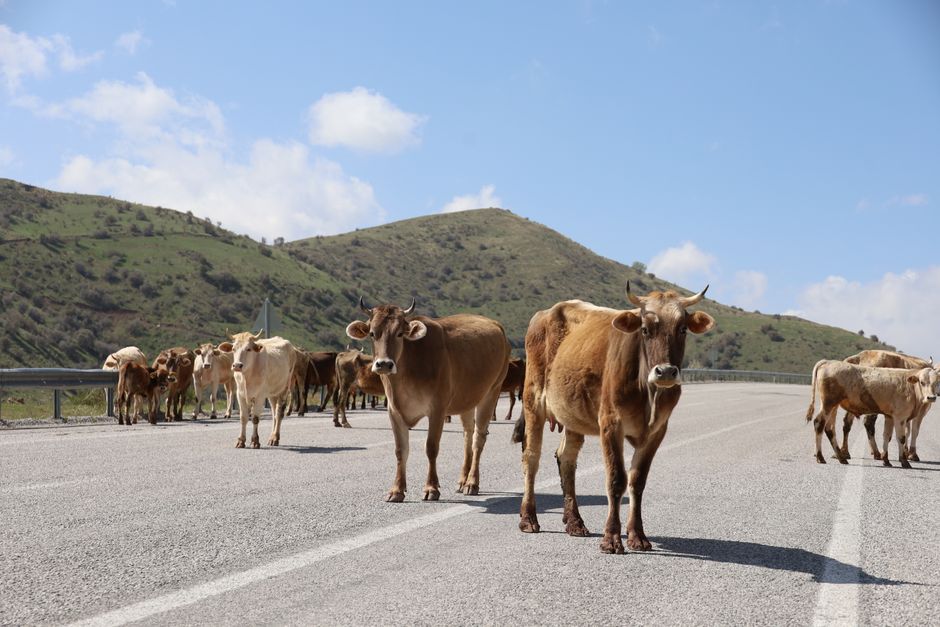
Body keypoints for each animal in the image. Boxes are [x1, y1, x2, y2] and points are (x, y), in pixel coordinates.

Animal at [346, 298, 510, 502]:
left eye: (400, 333)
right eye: (372, 333)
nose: (384, 364)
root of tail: (496, 325)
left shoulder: (437, 409)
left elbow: (431, 447)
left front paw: (431, 488)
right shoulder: (394, 410)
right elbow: (400, 450)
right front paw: (396, 490)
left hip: (491, 392)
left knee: (478, 438)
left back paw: (472, 482)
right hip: (467, 399)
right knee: (467, 434)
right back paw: (462, 480)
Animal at [518, 284, 714, 554]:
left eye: (682, 329)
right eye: (645, 329)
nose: (665, 372)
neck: (648, 394)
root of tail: (545, 313)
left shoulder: (657, 431)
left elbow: (637, 481)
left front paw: (637, 535)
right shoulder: (611, 424)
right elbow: (616, 479)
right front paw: (611, 538)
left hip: (572, 413)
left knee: (566, 458)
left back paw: (575, 522)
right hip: (533, 400)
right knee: (531, 458)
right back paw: (529, 518)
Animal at [805, 360, 940, 468]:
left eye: (937, 382)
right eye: (922, 382)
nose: (931, 397)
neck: (911, 388)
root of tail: (828, 361)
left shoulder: (890, 416)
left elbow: (887, 436)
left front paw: (886, 460)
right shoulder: (900, 417)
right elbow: (901, 438)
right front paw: (904, 461)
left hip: (833, 406)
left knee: (830, 428)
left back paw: (841, 458)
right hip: (828, 404)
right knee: (819, 423)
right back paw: (820, 457)